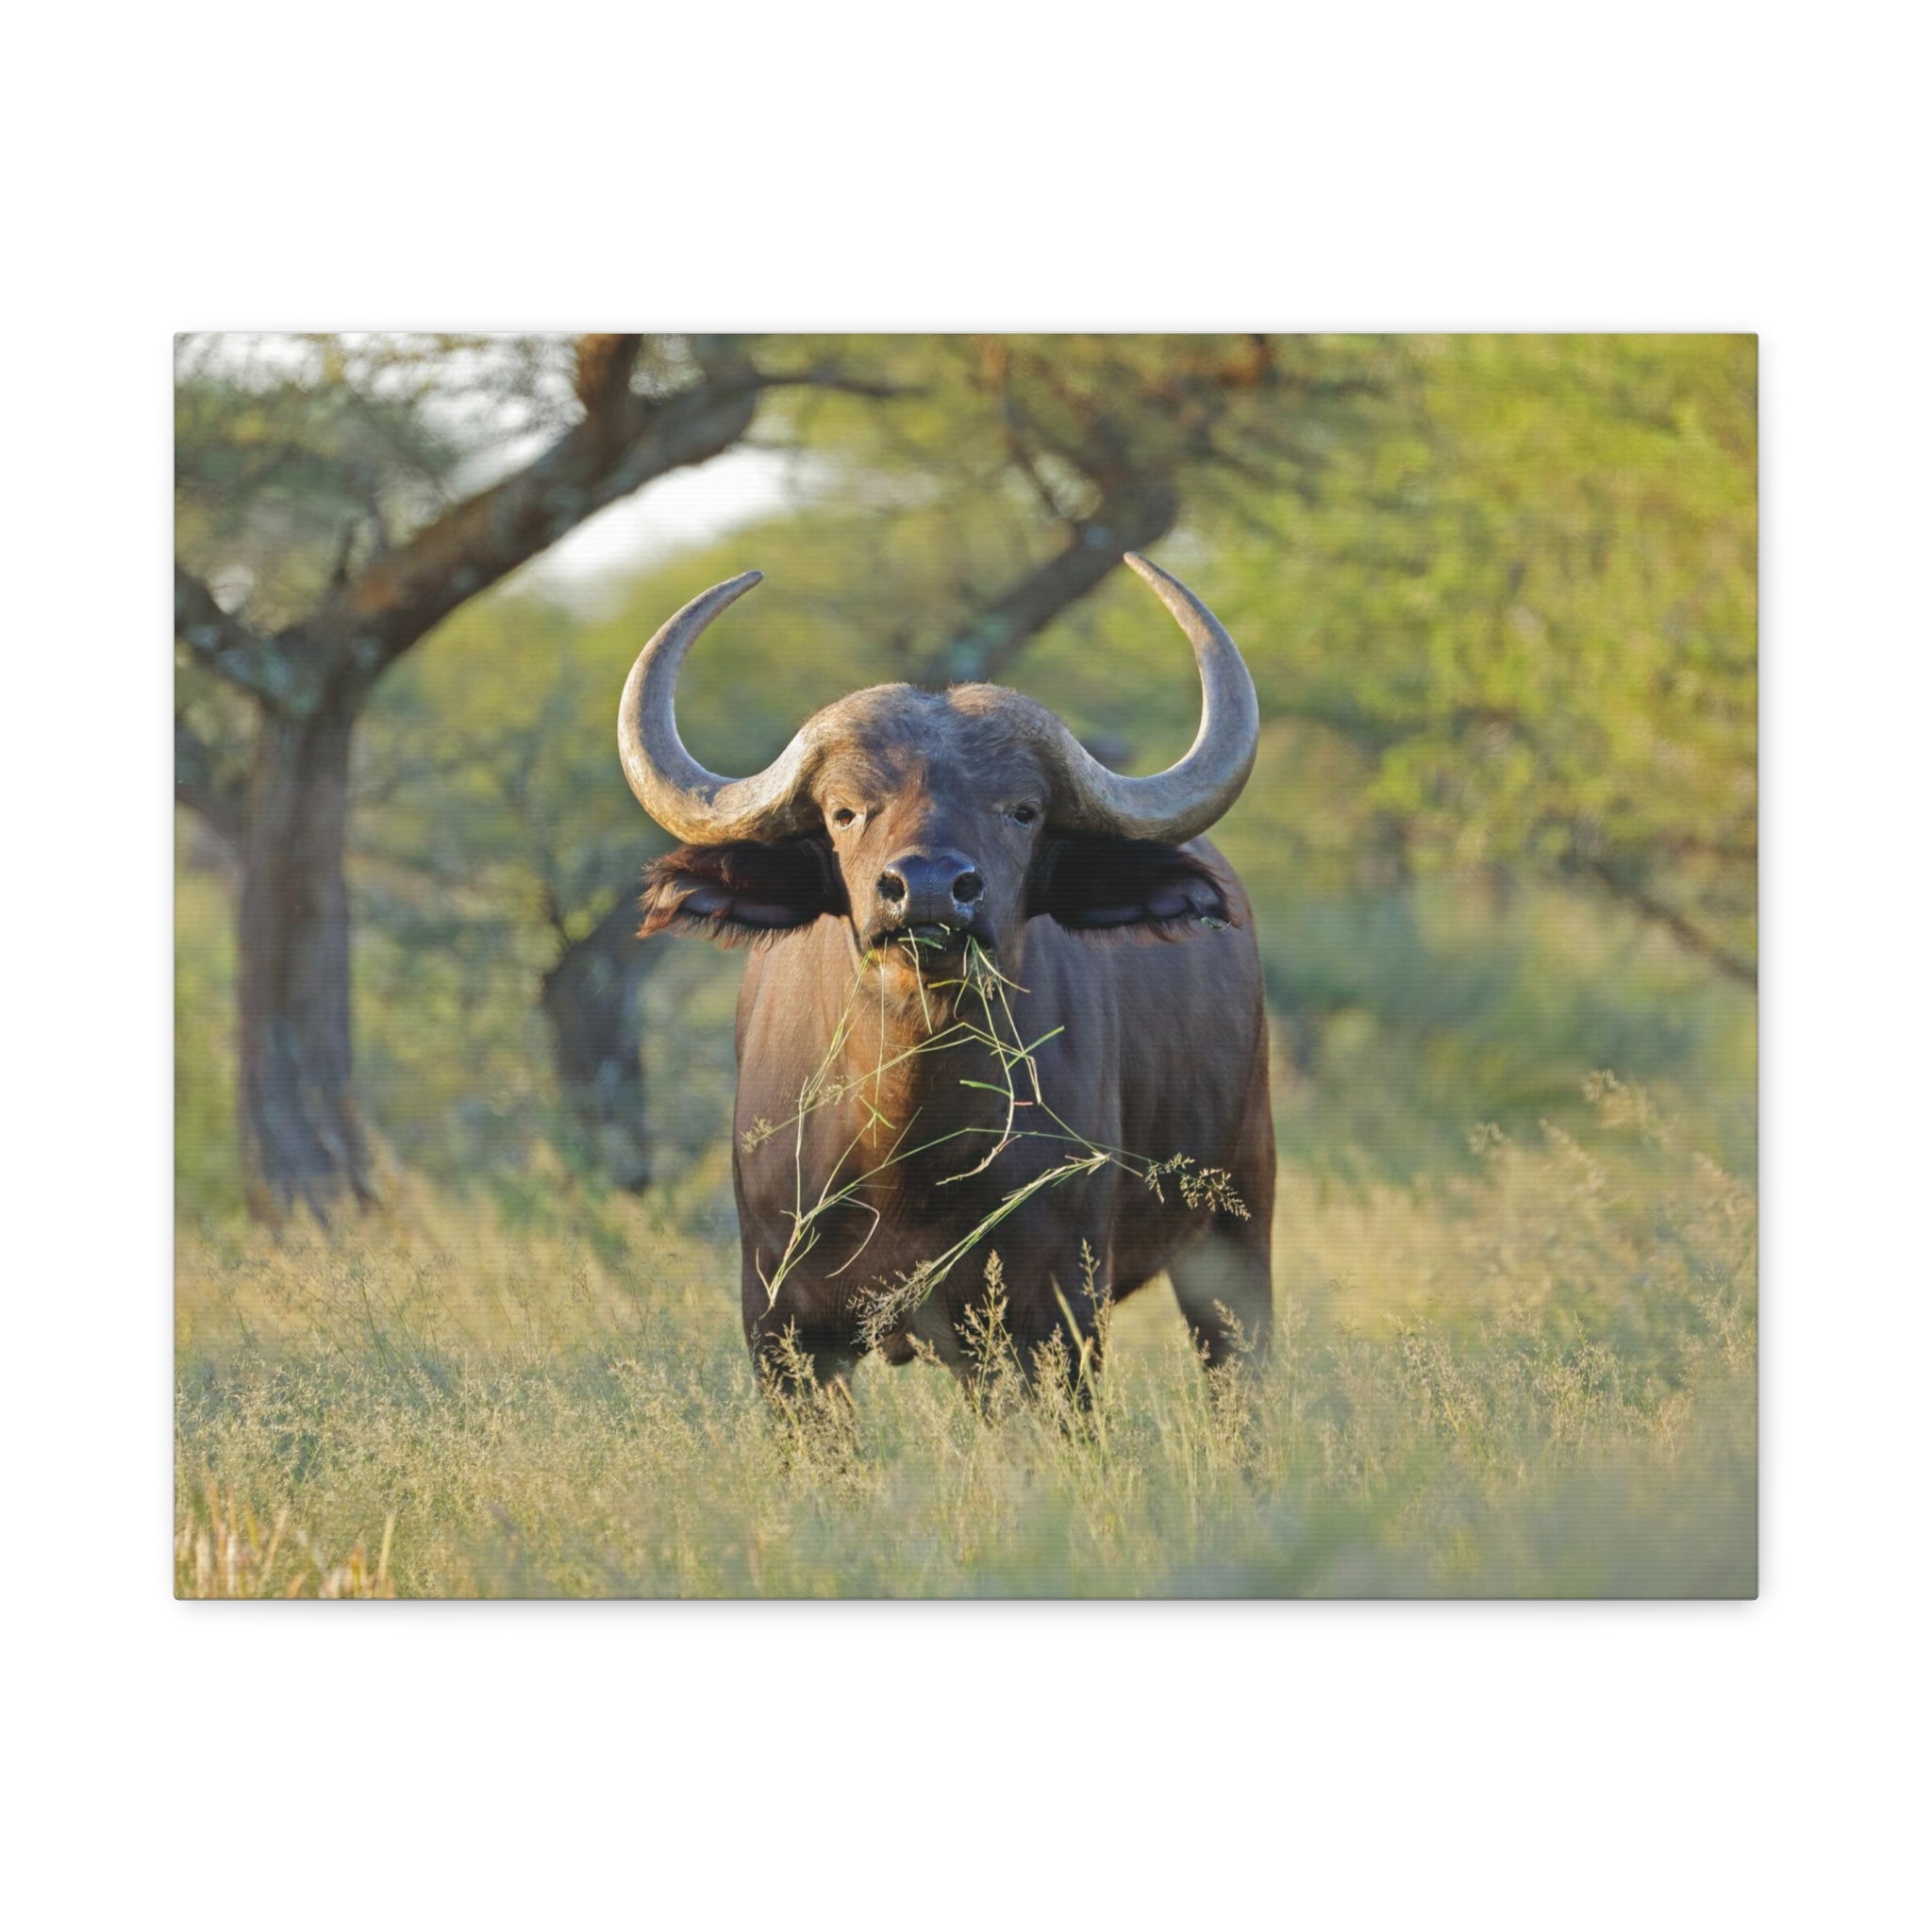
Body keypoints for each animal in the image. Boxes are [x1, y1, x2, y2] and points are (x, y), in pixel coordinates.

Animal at [618, 554, 1274, 1398]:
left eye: (1022, 810)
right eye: (844, 811)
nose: (928, 889)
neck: (910, 1153)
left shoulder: (1058, 1319)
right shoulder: (784, 1332)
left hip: (1236, 1232)